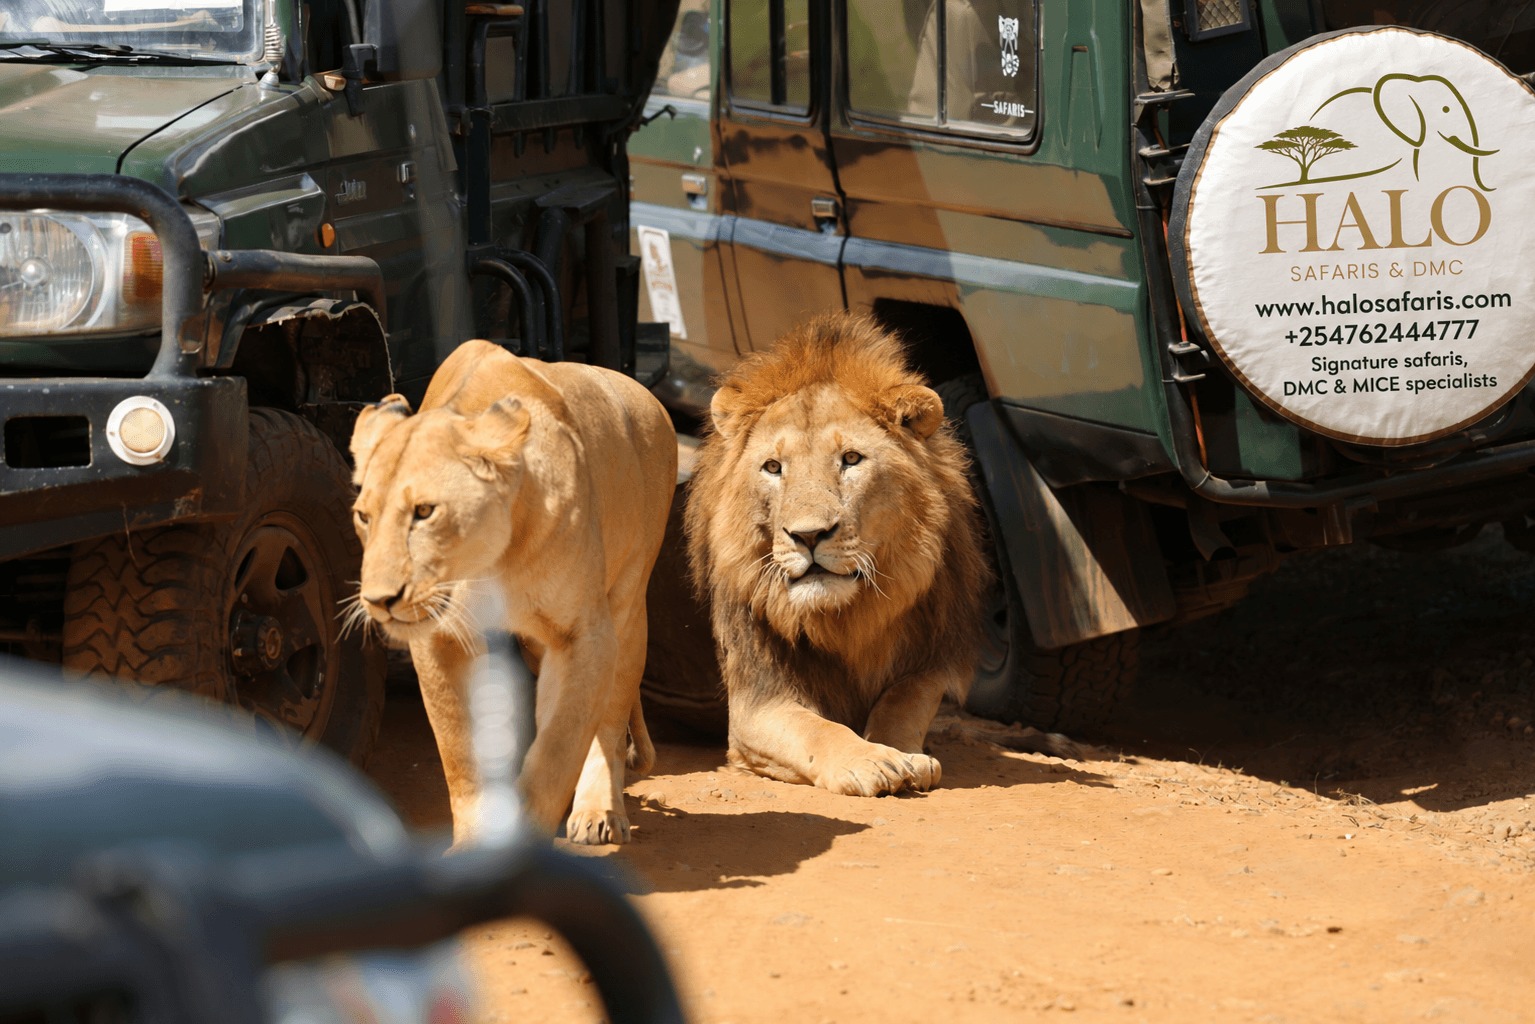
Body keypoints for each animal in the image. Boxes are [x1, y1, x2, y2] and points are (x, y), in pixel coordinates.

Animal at [348, 339, 677, 845]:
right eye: (364, 516)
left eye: (424, 512)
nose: (379, 601)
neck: (493, 560)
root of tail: (647, 394)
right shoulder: (440, 640)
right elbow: (461, 755)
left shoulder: (584, 637)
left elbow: (557, 751)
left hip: (627, 609)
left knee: (607, 721)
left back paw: (598, 811)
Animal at [684, 312, 991, 796]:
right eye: (773, 467)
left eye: (851, 458)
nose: (808, 535)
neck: (846, 620)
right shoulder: (756, 702)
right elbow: (818, 729)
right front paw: (870, 760)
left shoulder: (924, 668)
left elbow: (899, 706)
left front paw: (906, 755)